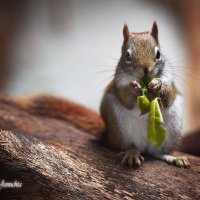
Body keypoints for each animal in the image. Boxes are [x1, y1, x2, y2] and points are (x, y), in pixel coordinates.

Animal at [100, 21, 191, 168]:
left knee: (157, 153)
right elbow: (126, 98)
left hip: (172, 129)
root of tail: (145, 147)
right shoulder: (118, 84)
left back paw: (173, 158)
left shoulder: (170, 81)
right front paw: (133, 87)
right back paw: (131, 153)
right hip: (119, 128)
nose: (146, 69)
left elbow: (168, 97)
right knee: (129, 146)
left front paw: (158, 85)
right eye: (127, 56)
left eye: (158, 54)